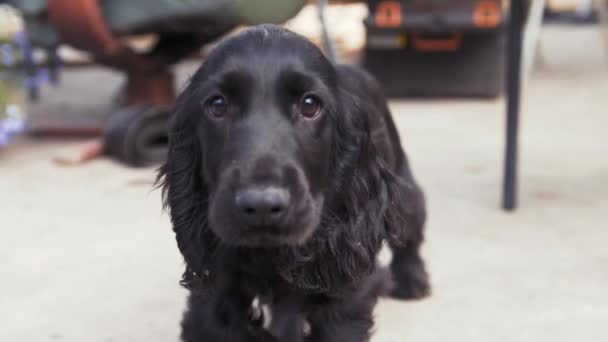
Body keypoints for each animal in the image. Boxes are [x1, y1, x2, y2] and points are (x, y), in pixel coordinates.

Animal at [159, 24, 430, 342]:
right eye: (217, 105)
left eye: (310, 105)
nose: (261, 205)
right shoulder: (212, 302)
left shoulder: (343, 300)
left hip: (404, 191)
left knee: (409, 233)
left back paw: (412, 279)